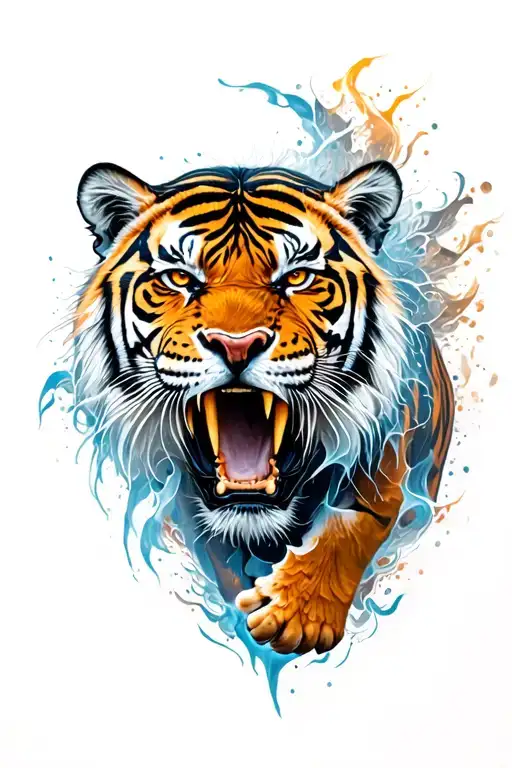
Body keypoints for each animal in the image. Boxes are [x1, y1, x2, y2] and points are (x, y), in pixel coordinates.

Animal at [72, 159, 454, 656]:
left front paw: (293, 615)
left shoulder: (391, 457)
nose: (236, 345)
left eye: (296, 277)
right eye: (180, 278)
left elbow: (354, 522)